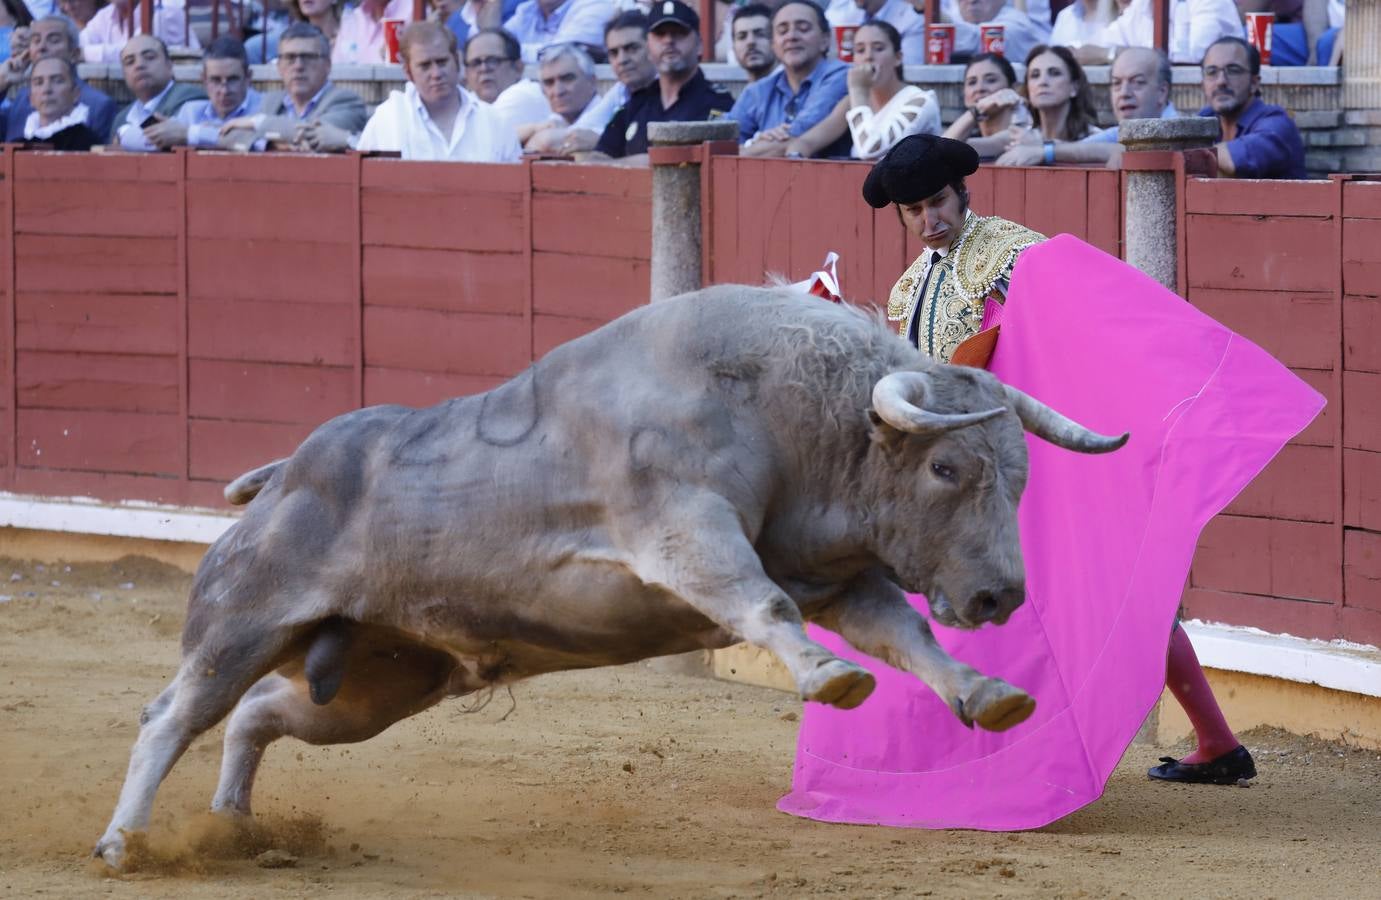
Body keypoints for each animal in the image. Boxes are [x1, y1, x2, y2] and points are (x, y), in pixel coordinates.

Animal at [94, 288, 1121, 866]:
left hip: (378, 684)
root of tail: (283, 475)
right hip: (246, 618)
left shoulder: (838, 577)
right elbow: (761, 602)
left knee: (262, 715)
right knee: (173, 714)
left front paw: (985, 694)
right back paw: (125, 844)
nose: (998, 598)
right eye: (947, 468)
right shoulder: (684, 530)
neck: (784, 407)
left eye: (1019, 476)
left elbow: (904, 635)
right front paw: (831, 678)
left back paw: (234, 828)